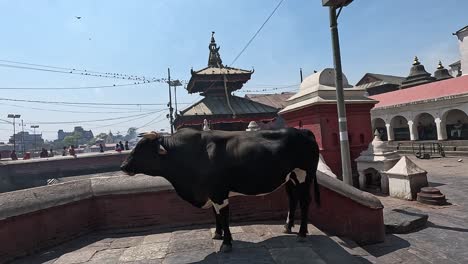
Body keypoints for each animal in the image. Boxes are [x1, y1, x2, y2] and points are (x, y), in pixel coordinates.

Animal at [120, 129, 320, 253]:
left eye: (142, 150)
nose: (123, 166)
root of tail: (303, 131)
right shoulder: (211, 193)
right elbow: (215, 214)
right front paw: (218, 234)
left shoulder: (218, 193)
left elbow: (223, 216)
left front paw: (227, 243)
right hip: (291, 177)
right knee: (292, 199)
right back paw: (287, 226)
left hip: (304, 175)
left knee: (305, 201)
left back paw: (302, 233)